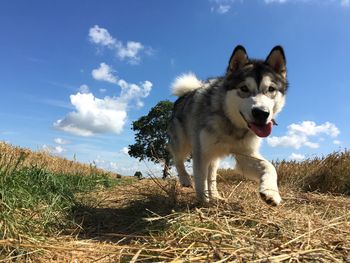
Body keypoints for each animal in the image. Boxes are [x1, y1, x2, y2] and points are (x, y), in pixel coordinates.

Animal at [168, 45, 288, 206]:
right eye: (244, 88)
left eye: (271, 89)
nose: (261, 113)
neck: (231, 124)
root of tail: (185, 94)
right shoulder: (201, 152)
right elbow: (200, 179)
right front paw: (202, 202)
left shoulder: (245, 154)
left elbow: (269, 166)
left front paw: (271, 192)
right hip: (183, 142)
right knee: (177, 158)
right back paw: (185, 179)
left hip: (214, 155)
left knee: (211, 174)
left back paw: (216, 195)